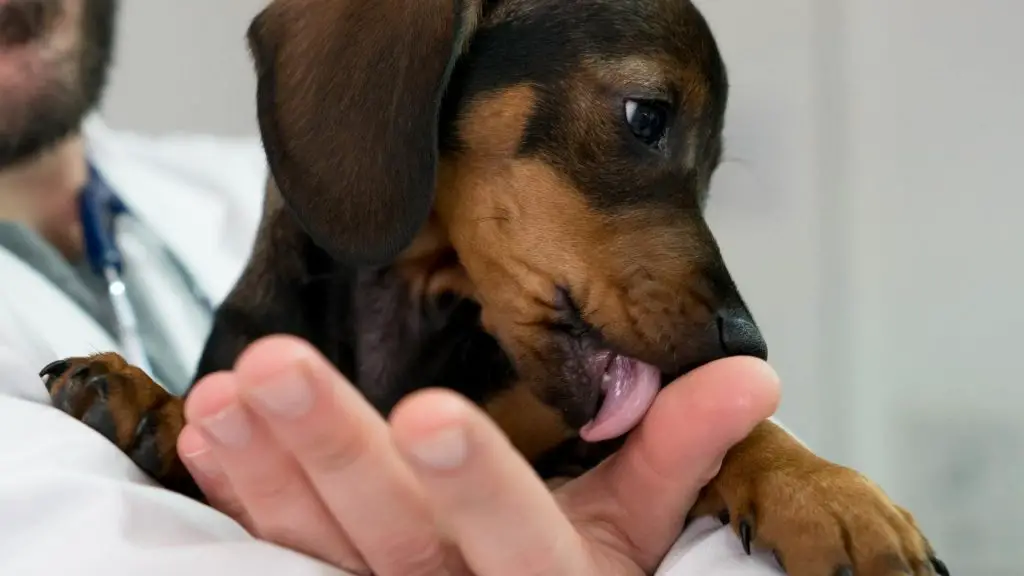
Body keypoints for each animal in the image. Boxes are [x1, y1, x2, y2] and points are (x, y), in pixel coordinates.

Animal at [44, 1, 946, 573]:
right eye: (646, 115)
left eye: (715, 169)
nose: (747, 343)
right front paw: (141, 396)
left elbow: (733, 433)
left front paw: (830, 493)